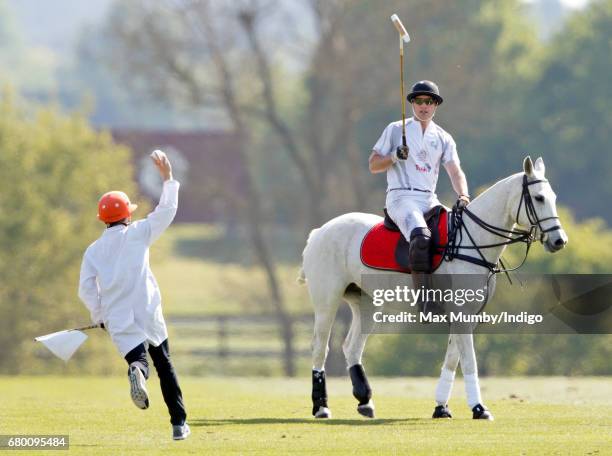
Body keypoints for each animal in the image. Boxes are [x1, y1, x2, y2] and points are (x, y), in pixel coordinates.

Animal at [298, 157, 568, 420]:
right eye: (539, 198)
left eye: (553, 197)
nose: (559, 241)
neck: (473, 241)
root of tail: (318, 232)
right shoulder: (461, 313)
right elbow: (468, 361)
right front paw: (479, 408)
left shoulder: (466, 315)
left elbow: (452, 359)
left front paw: (441, 408)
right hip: (327, 300)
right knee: (320, 347)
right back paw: (321, 407)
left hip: (367, 303)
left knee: (352, 347)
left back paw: (365, 401)